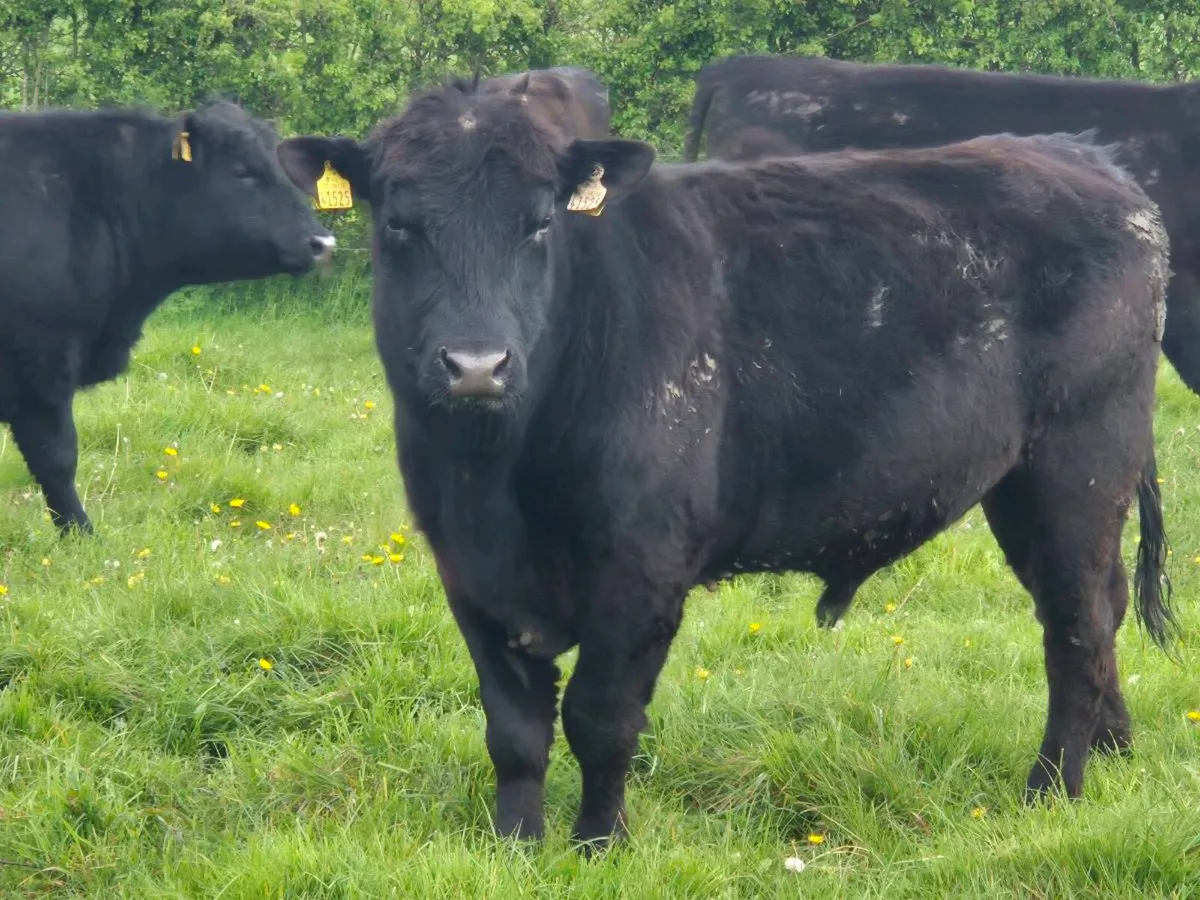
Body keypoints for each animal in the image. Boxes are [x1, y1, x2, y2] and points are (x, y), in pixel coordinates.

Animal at [280, 76, 1177, 851]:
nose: (476, 365)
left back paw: (1054, 787)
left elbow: (600, 720)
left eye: (539, 223)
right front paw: (516, 846)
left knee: (1074, 624)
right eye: (400, 223)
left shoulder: (641, 568)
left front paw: (597, 844)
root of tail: (1083, 156)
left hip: (1077, 463)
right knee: (1104, 603)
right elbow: (515, 730)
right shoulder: (467, 571)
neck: (496, 480)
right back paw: (1115, 747)